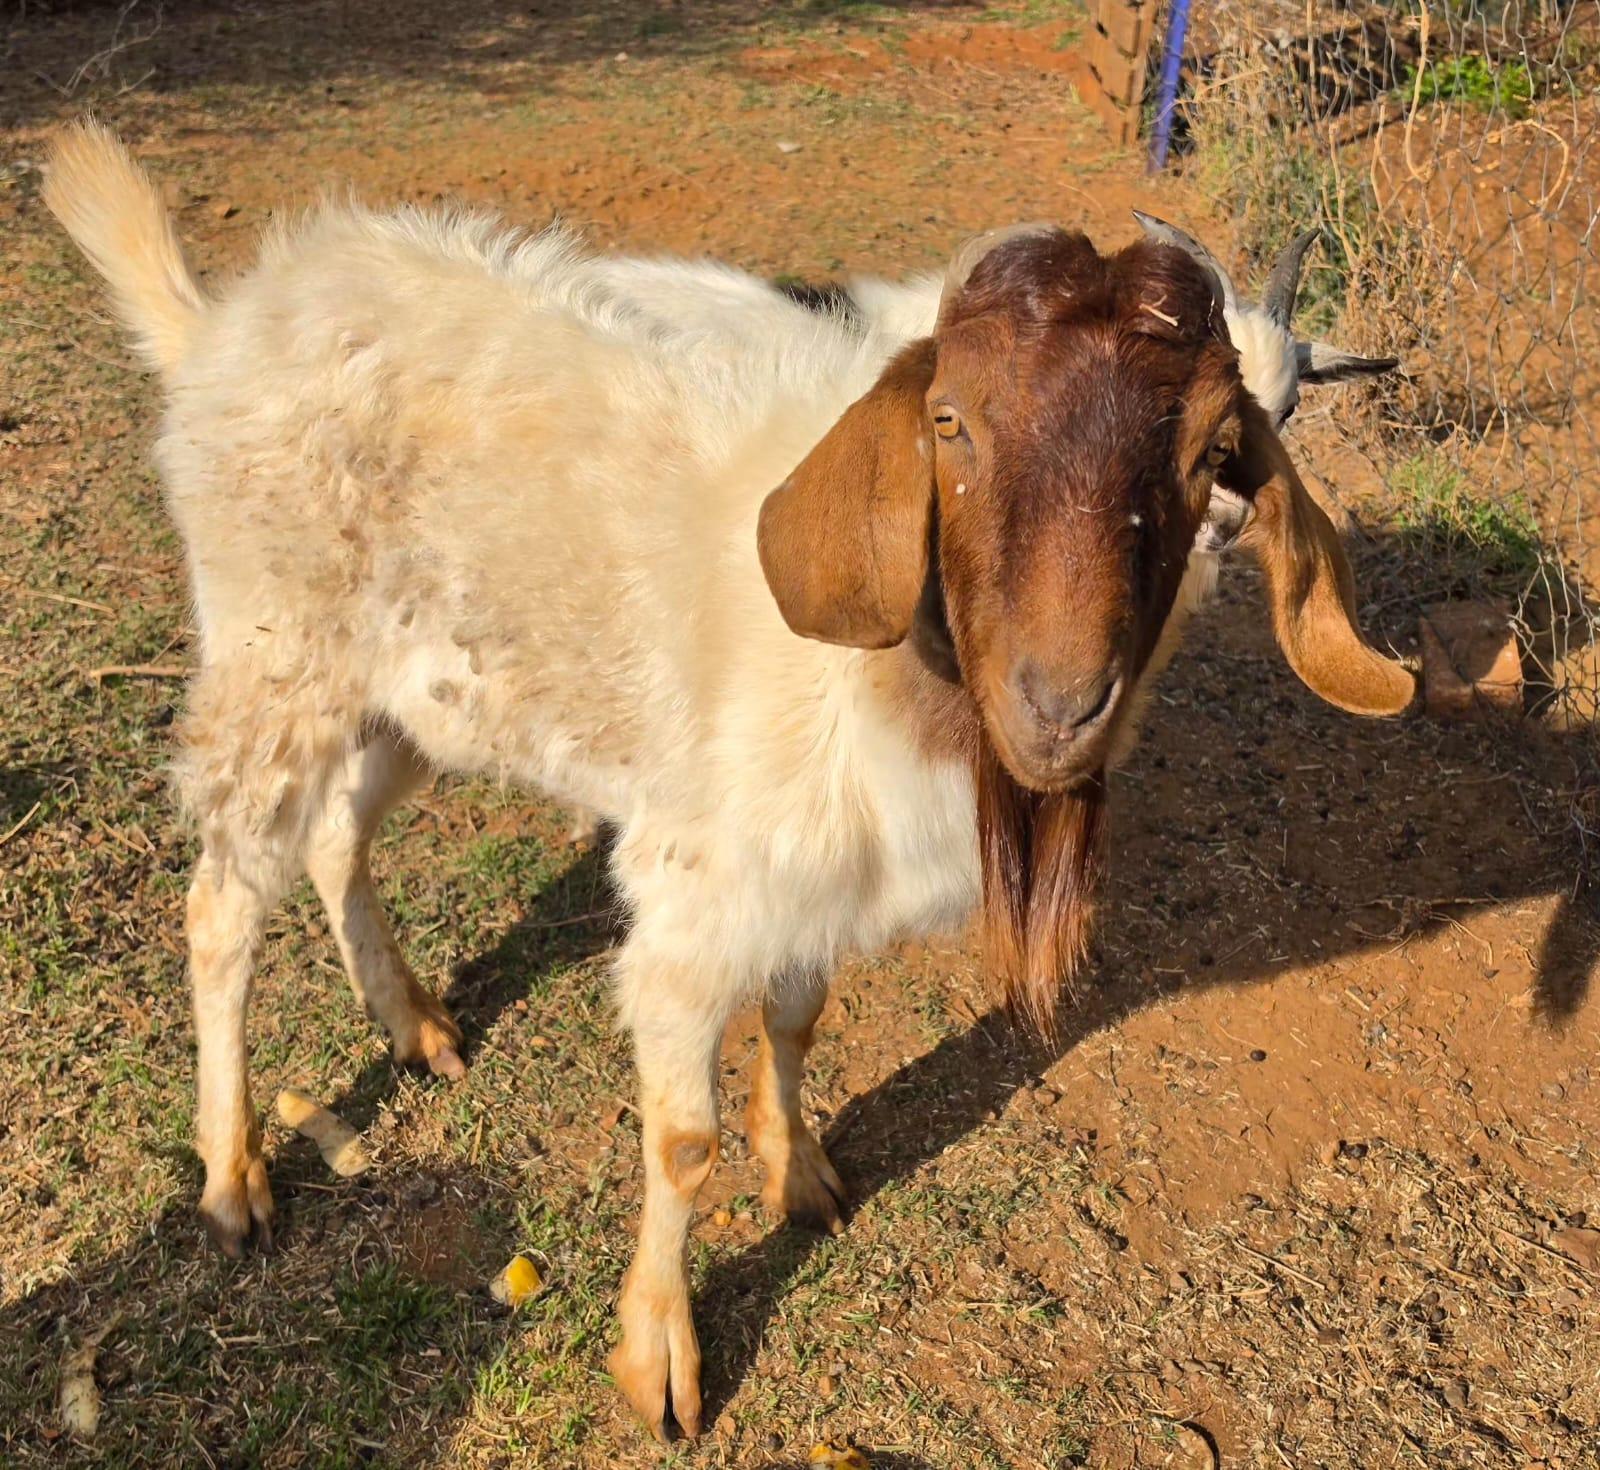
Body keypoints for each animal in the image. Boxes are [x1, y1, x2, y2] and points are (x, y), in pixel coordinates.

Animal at [45, 122, 1414, 1441]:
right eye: (950, 423)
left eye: (1219, 450)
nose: (1059, 705)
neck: (884, 679)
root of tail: (220, 327)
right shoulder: (698, 890)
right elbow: (680, 1138)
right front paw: (660, 1359)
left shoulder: (814, 872)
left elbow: (799, 1016)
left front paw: (799, 1173)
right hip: (275, 656)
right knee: (222, 905)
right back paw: (233, 1180)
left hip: (415, 697)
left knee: (337, 836)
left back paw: (415, 1023)